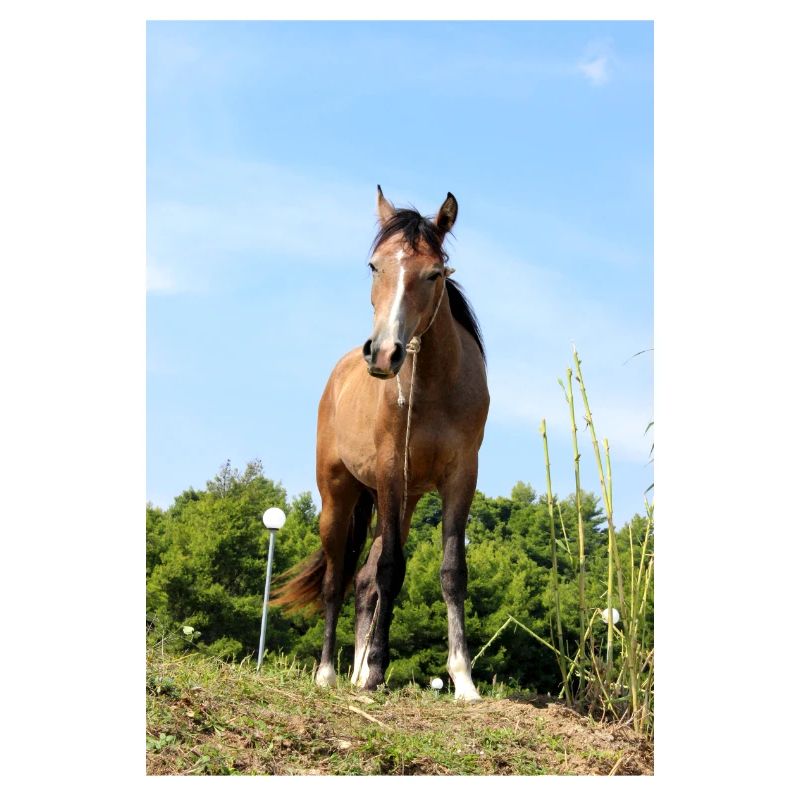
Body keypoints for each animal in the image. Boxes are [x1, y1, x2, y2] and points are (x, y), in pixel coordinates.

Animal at [272, 186, 489, 701]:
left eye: (434, 273)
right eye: (374, 266)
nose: (384, 353)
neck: (433, 386)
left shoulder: (461, 477)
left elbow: (451, 572)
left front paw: (463, 679)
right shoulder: (391, 472)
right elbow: (391, 571)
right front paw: (374, 673)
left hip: (402, 501)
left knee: (362, 580)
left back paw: (353, 670)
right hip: (340, 497)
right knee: (337, 581)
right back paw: (330, 673)